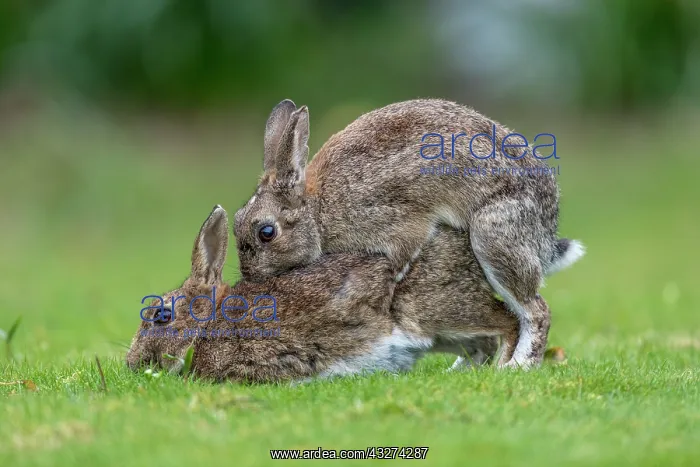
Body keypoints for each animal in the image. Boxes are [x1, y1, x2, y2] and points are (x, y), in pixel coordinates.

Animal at [126, 205, 520, 382]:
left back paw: (507, 367)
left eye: (161, 315)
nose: (131, 364)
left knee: (508, 323)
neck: (208, 327)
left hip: (441, 311)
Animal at [233, 98, 584, 368]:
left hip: (494, 235)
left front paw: (390, 282)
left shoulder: (397, 220)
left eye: (266, 232)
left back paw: (517, 366)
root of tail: (545, 238)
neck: (316, 210)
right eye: (236, 221)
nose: (250, 277)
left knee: (535, 310)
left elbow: (401, 254)